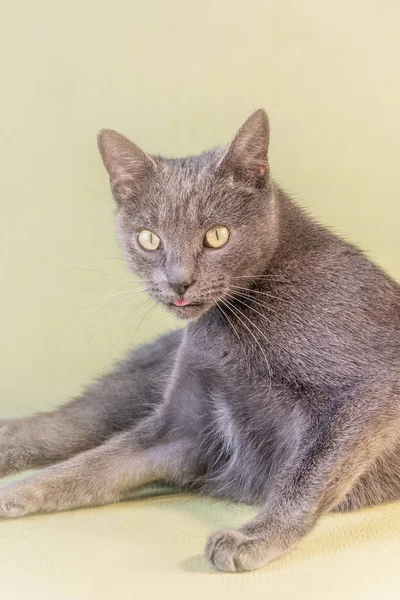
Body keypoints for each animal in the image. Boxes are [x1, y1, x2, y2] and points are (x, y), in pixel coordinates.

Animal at [0, 110, 400, 576]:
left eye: (217, 236)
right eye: (149, 239)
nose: (179, 282)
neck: (229, 330)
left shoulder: (368, 391)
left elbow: (307, 474)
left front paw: (253, 537)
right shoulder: (181, 424)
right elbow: (90, 467)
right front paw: (15, 493)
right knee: (69, 426)